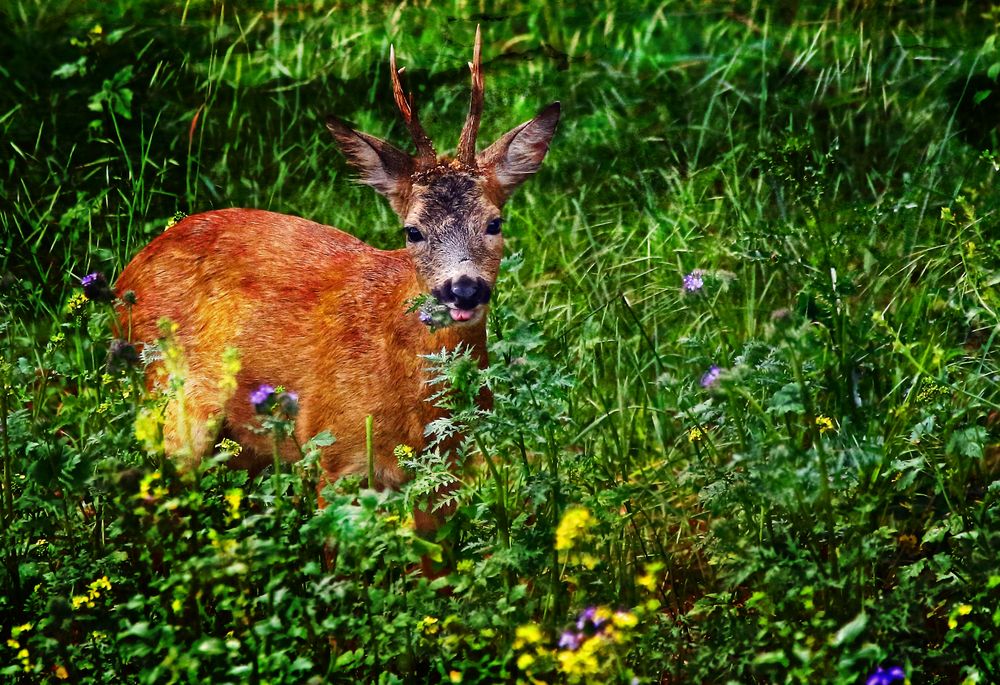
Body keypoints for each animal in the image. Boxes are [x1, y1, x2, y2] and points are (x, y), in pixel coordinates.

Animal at [115, 29, 564, 504]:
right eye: (412, 231)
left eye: (494, 223)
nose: (463, 290)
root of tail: (128, 273)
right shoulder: (333, 452)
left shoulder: (446, 477)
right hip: (170, 400)